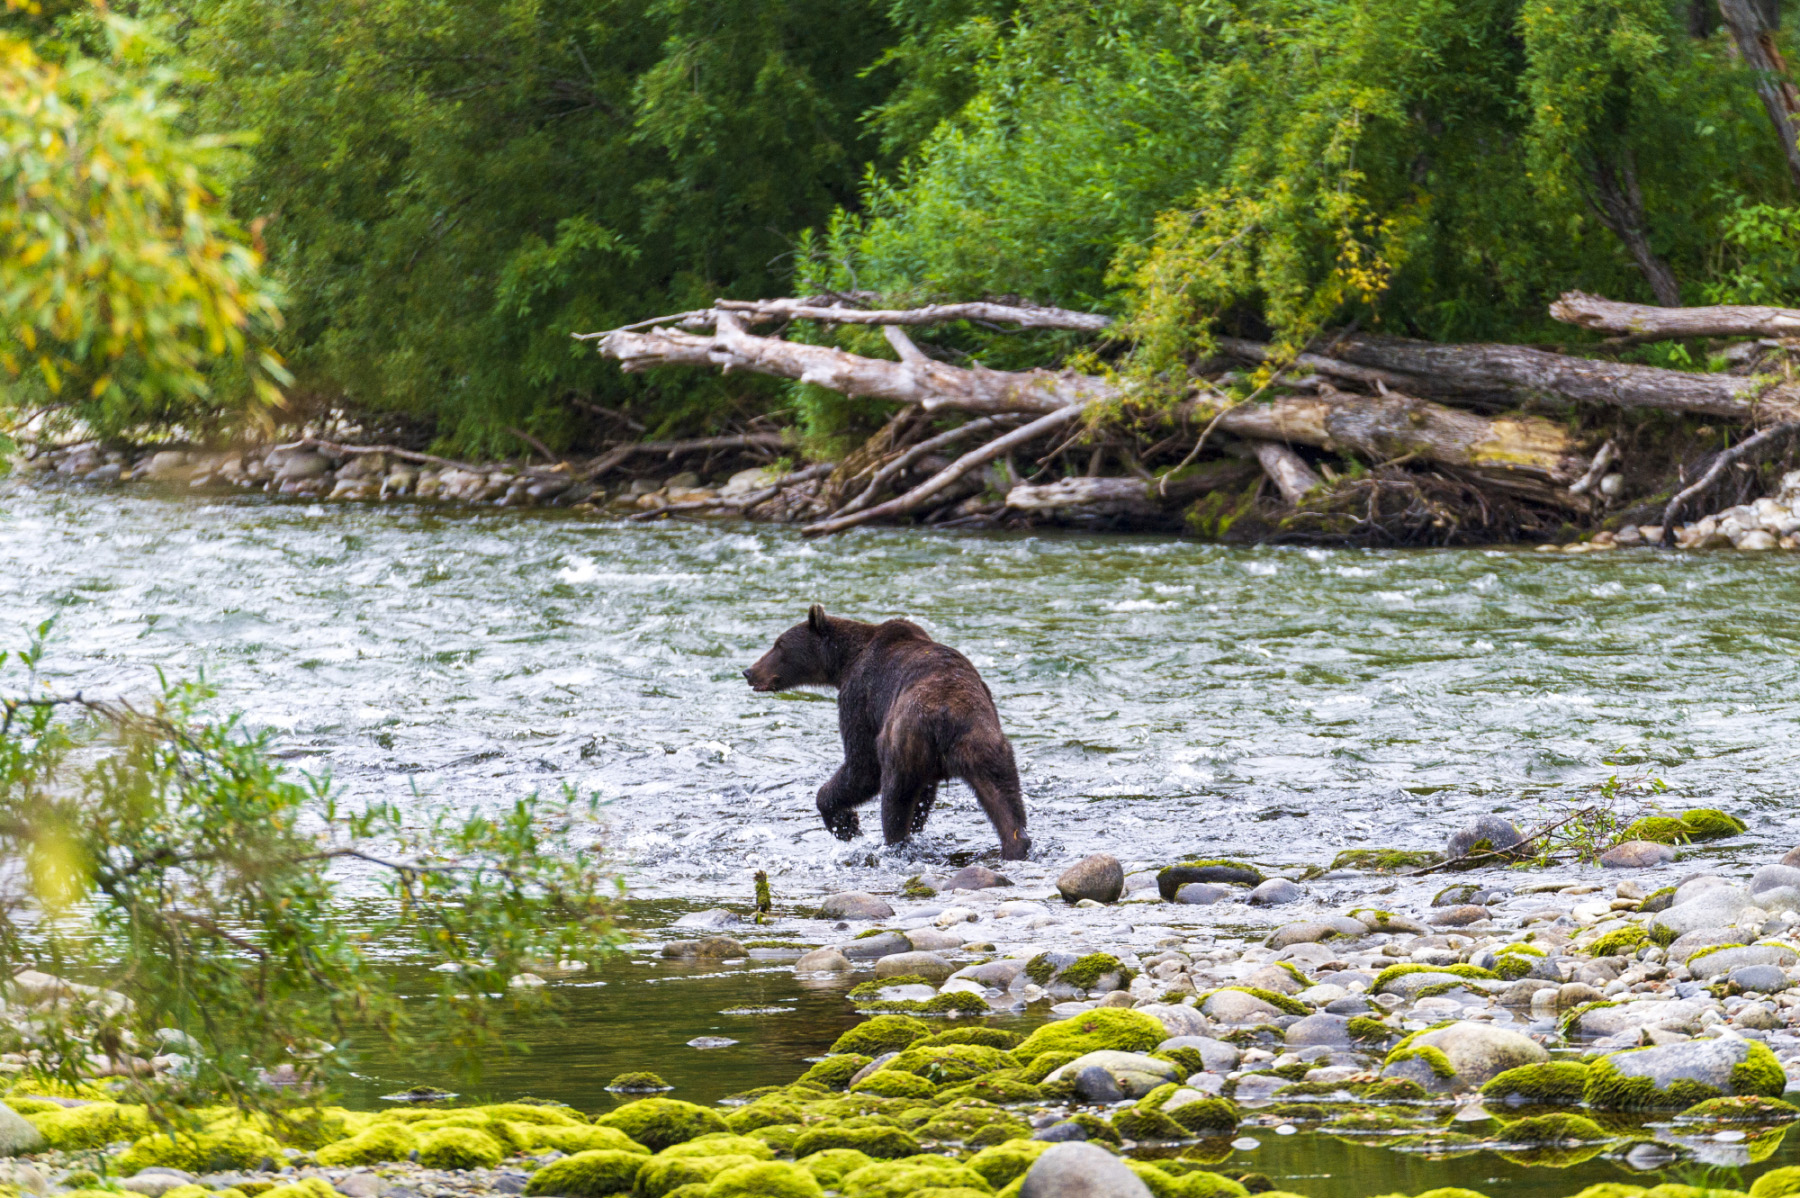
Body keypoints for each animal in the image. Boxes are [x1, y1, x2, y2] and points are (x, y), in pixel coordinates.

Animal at [741, 607, 1029, 859]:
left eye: (779, 645)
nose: (748, 671)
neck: (844, 662)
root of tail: (945, 717)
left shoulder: (859, 697)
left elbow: (861, 765)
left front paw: (846, 824)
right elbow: (925, 795)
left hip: (903, 744)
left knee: (893, 799)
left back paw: (893, 841)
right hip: (984, 744)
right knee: (1005, 797)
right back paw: (1016, 845)